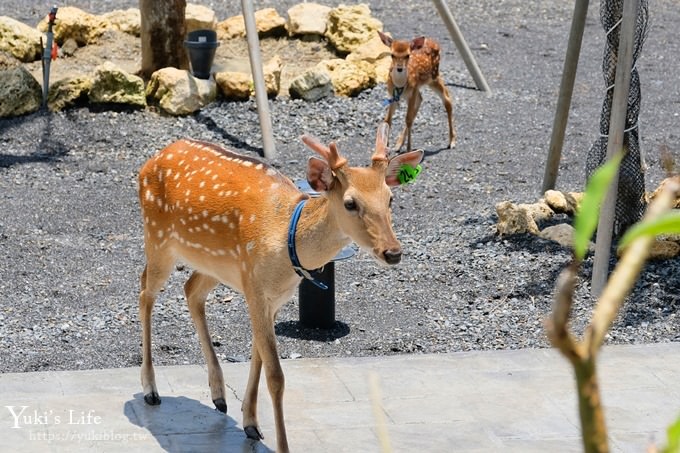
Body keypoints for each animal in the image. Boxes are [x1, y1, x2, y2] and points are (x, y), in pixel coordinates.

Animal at [136, 122, 422, 450]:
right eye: (350, 203)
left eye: (390, 198)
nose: (393, 252)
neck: (287, 239)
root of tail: (151, 160)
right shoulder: (255, 289)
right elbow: (276, 375)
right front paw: (280, 443)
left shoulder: (272, 296)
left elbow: (258, 358)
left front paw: (251, 424)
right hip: (158, 239)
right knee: (145, 292)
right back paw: (150, 389)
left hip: (214, 265)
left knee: (191, 290)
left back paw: (219, 396)